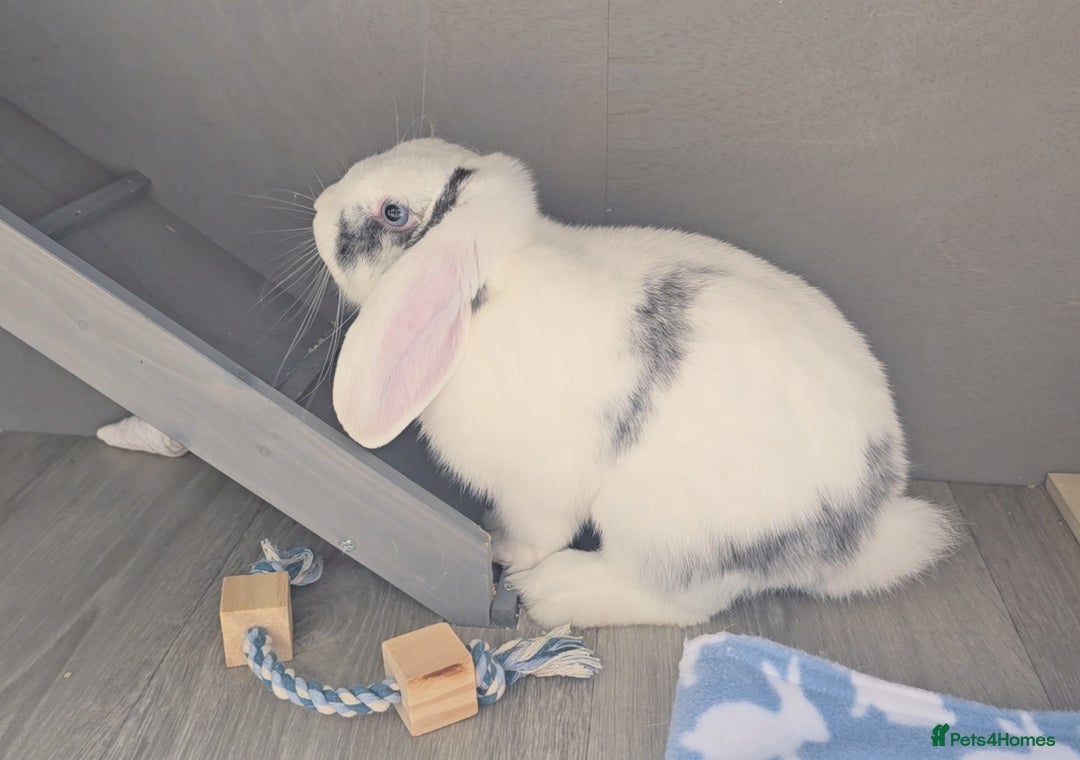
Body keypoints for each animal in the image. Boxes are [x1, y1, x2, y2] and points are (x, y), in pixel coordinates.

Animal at [311, 137, 956, 627]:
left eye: (393, 214)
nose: (317, 206)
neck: (488, 293)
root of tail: (864, 528)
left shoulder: (539, 484)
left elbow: (535, 530)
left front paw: (504, 548)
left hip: (669, 534)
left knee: (683, 603)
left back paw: (557, 591)